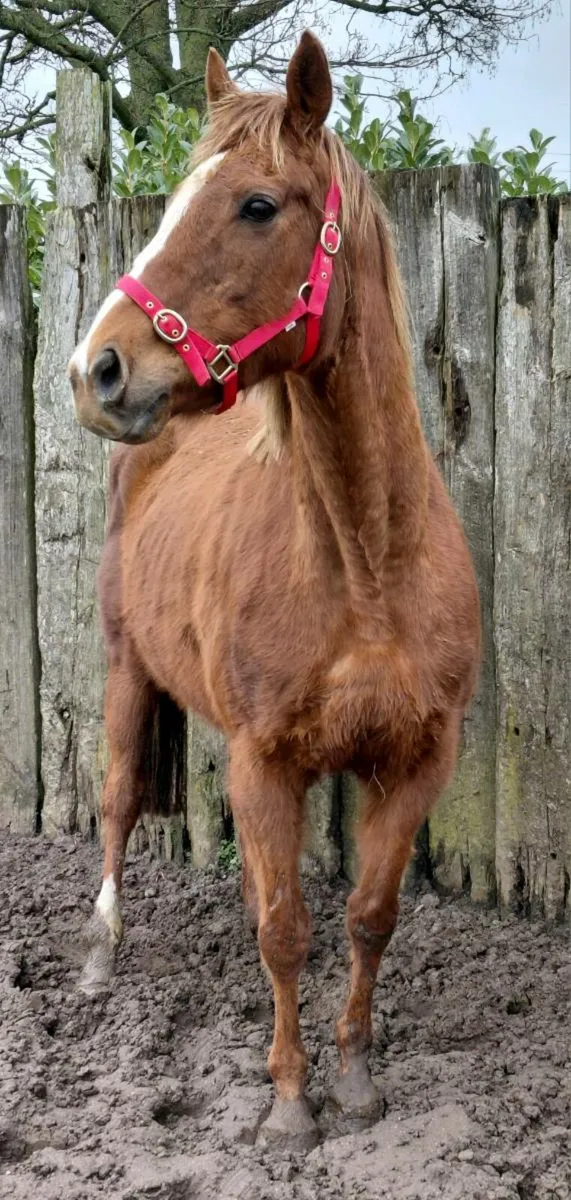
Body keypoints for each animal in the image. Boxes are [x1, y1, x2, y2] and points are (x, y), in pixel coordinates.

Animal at [68, 32, 481, 1150]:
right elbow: (286, 931)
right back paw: (99, 953)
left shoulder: (414, 763)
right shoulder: (263, 760)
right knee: (119, 802)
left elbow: (366, 918)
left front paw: (354, 1080)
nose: (96, 369)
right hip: (126, 673)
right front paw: (291, 1104)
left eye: (257, 205)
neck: (366, 564)